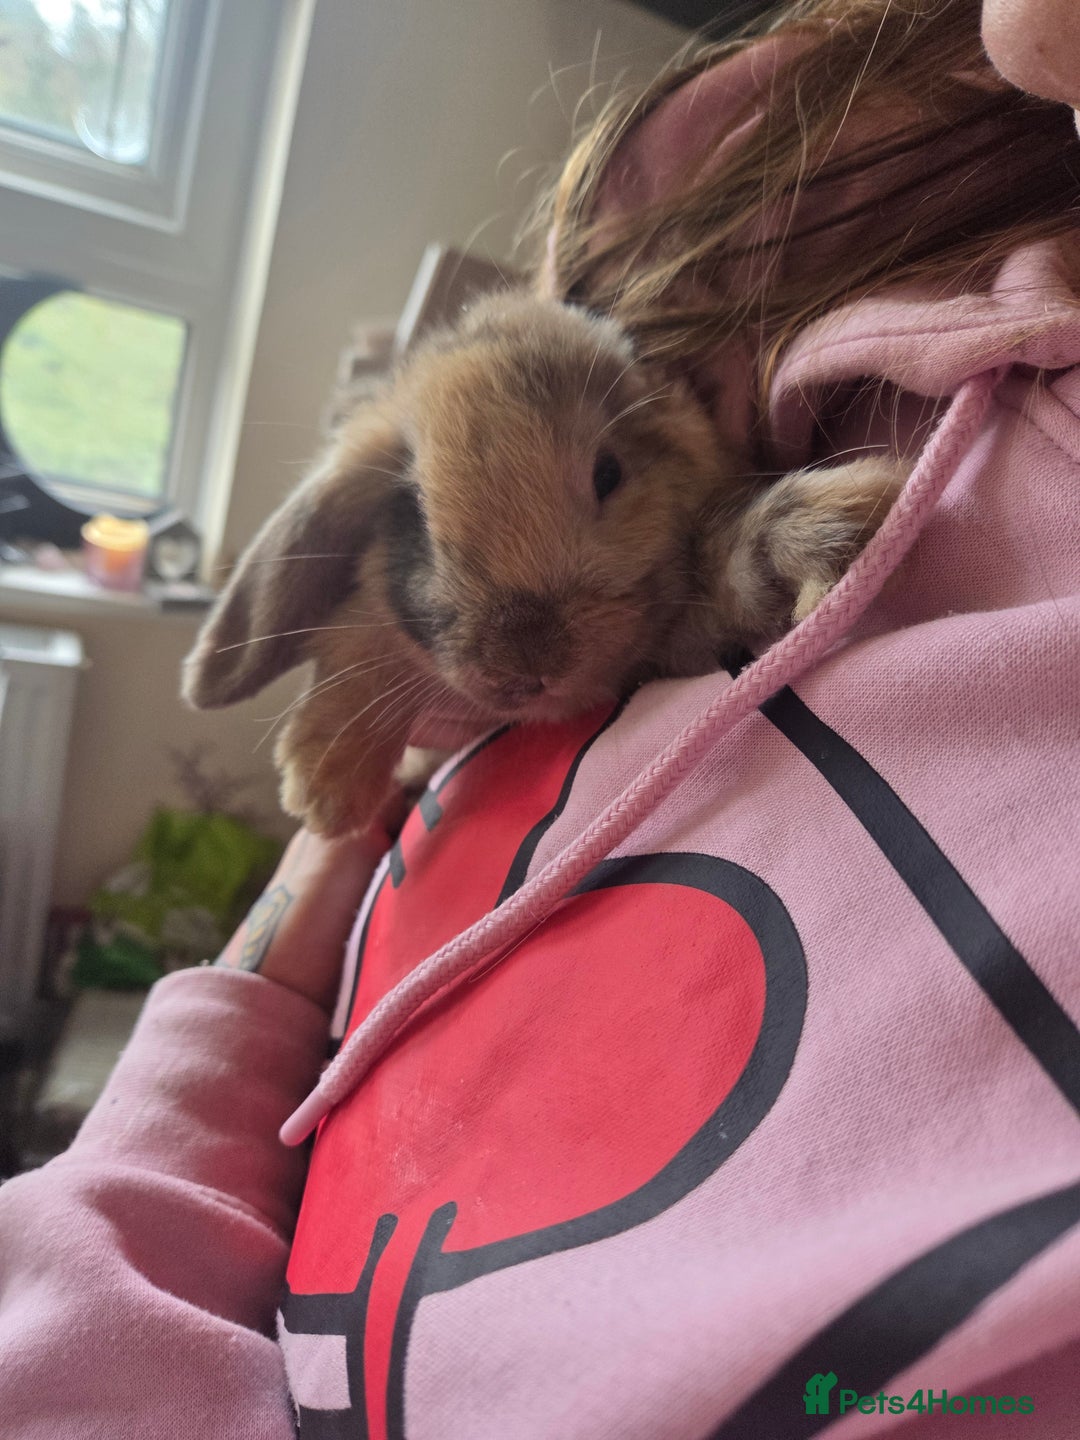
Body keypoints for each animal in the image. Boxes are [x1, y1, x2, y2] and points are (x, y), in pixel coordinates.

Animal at [183, 292, 905, 837]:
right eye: (413, 509)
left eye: (608, 473)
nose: (529, 665)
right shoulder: (377, 631)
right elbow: (361, 651)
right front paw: (325, 790)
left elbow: (738, 562)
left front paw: (844, 522)